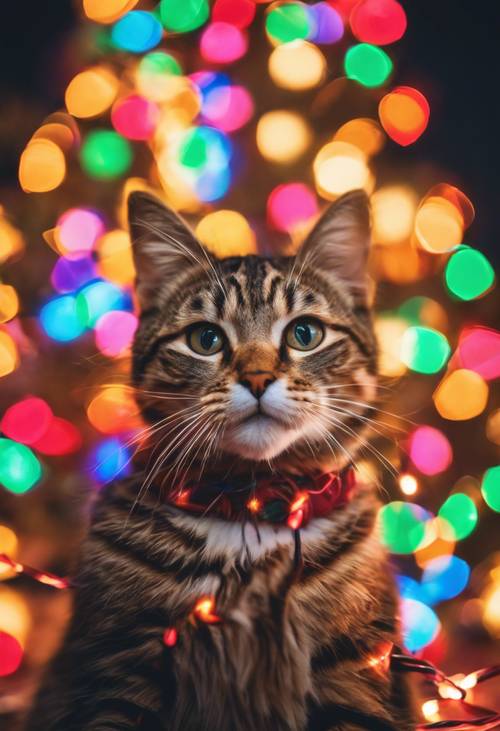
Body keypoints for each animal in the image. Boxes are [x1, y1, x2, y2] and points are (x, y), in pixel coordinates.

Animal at [26, 192, 414, 728]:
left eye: (305, 333)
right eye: (205, 340)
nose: (257, 378)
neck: (248, 507)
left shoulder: (355, 671)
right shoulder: (116, 664)